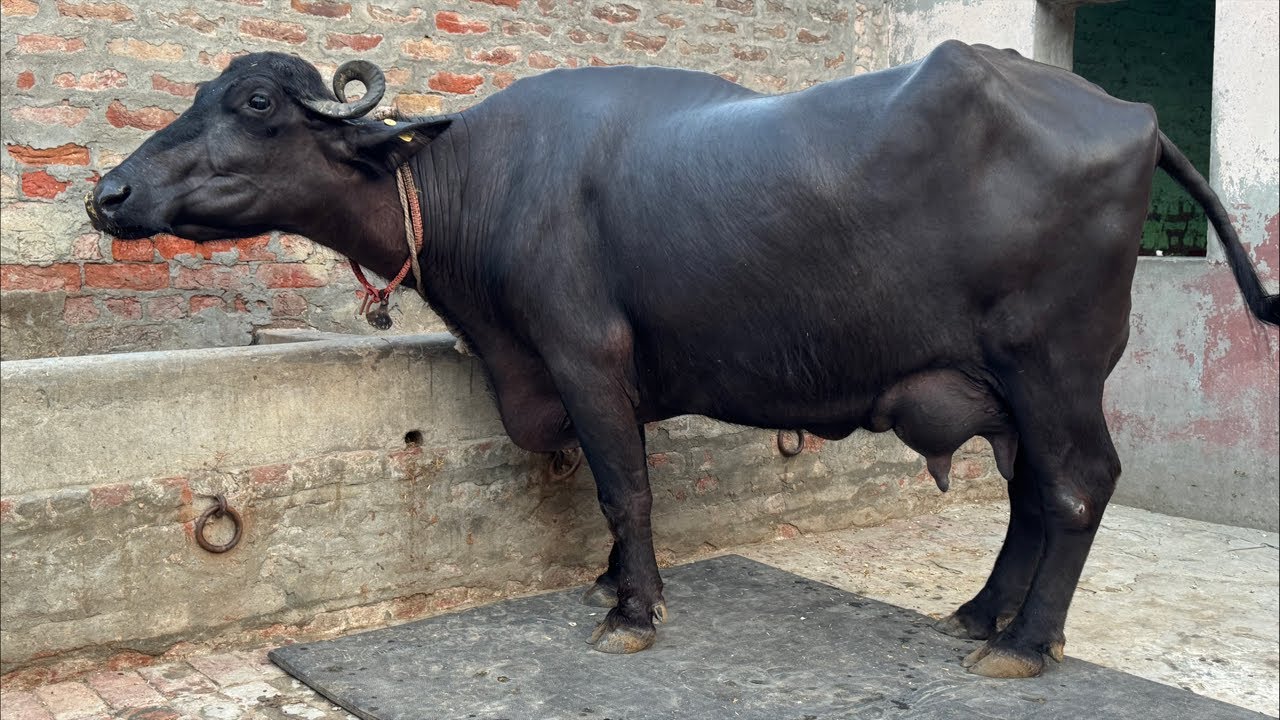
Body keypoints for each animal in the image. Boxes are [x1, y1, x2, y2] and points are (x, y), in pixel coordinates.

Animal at [87, 43, 1278, 677]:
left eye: (253, 104)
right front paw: (617, 585)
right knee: (1032, 491)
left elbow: (625, 488)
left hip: (1056, 365)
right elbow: (619, 494)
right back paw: (980, 612)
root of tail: (1128, 115)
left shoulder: (583, 357)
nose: (109, 193)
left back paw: (1023, 643)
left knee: (1077, 485)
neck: (483, 179)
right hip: (1012, 384)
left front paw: (631, 609)